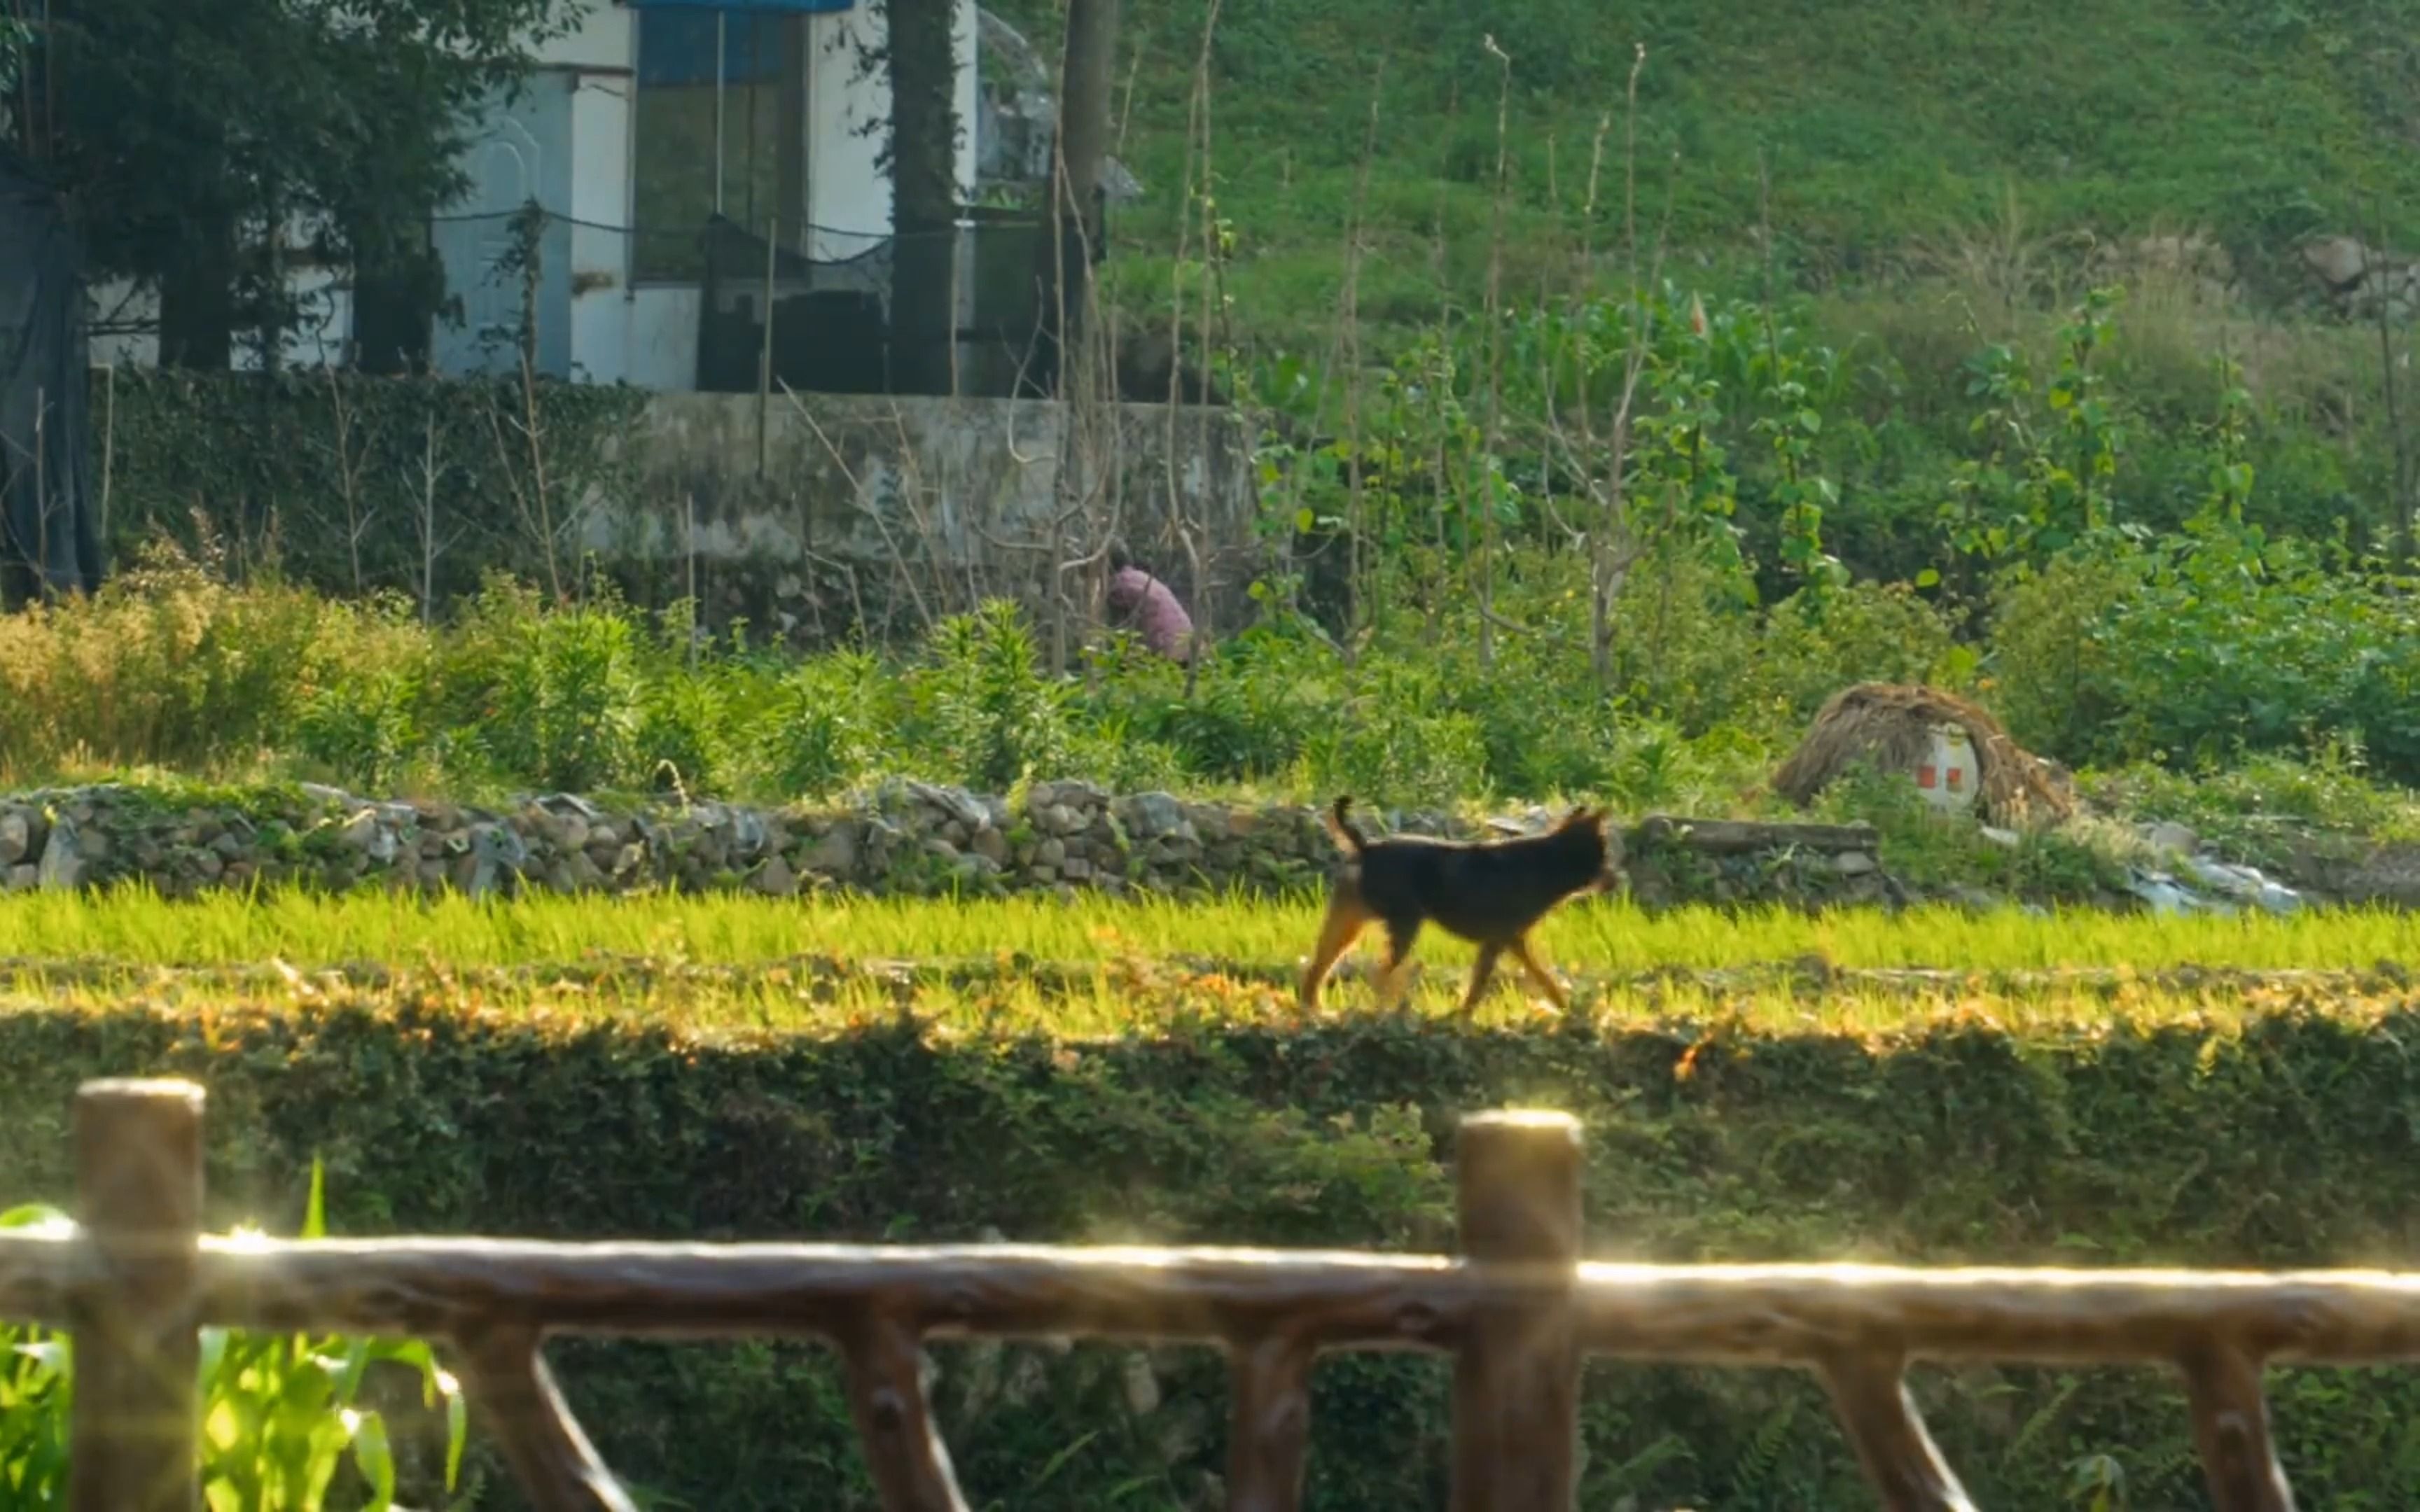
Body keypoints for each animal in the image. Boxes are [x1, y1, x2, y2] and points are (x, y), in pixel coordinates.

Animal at [1297, 788, 1616, 1016]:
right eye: (1606, 853)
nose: (1615, 879)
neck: (1551, 861)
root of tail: (1366, 848)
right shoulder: (1500, 939)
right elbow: (1482, 985)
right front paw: (1464, 1017)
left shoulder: (1512, 939)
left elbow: (1542, 976)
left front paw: (1565, 1008)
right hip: (1404, 924)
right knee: (1377, 973)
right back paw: (1380, 1010)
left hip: (1348, 920)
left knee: (1318, 967)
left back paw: (1314, 1009)